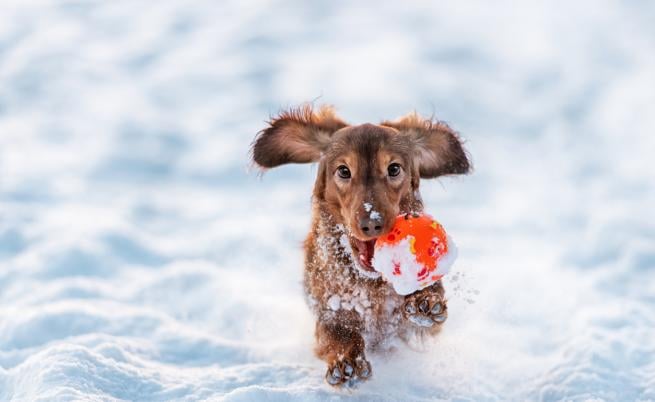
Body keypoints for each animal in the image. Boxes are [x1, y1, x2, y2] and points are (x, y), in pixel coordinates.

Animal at [251, 105, 472, 388]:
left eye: (394, 168)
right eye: (344, 171)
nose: (372, 223)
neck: (370, 283)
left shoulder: (416, 330)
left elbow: (426, 309)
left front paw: (424, 300)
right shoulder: (329, 308)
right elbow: (338, 332)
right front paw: (347, 362)